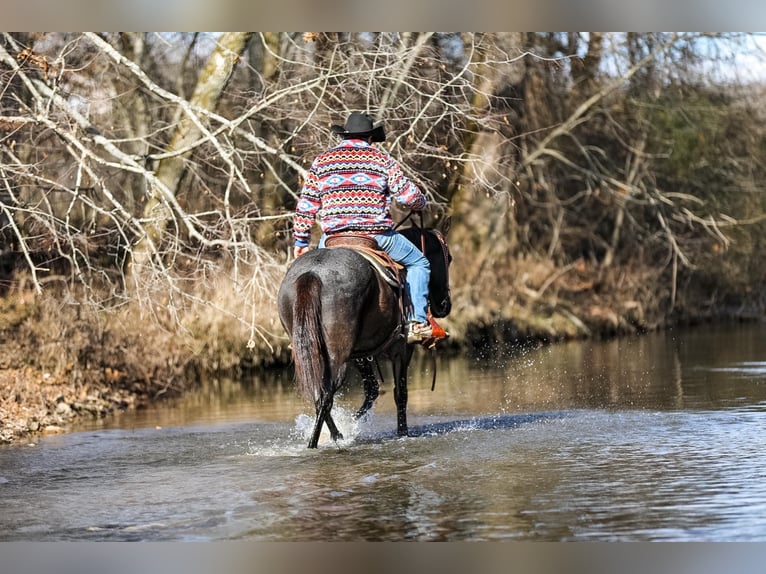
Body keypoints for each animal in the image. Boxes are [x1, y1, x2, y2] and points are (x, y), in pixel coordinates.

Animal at [280, 222, 452, 450]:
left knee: (319, 394)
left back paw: (337, 435)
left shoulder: (361, 354)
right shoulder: (401, 349)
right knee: (326, 395)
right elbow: (400, 394)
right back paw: (316, 443)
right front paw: (403, 433)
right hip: (338, 356)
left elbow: (372, 390)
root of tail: (312, 273)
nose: (445, 305)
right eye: (448, 257)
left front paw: (353, 422)